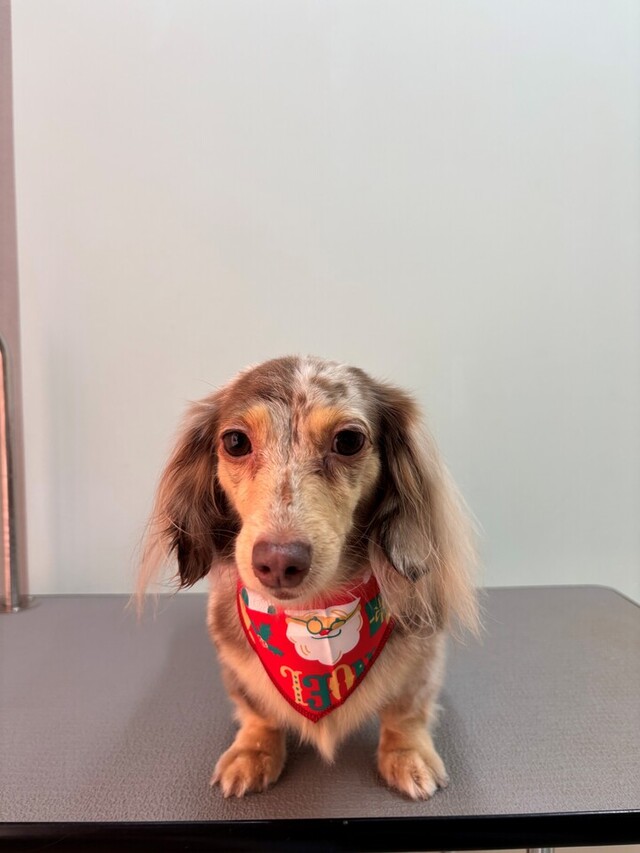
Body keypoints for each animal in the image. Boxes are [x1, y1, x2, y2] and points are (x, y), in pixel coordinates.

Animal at [139, 356, 478, 799]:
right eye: (235, 442)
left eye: (349, 440)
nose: (279, 562)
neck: (317, 611)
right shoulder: (236, 664)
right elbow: (257, 711)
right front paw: (253, 751)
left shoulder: (423, 656)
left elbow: (406, 710)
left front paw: (407, 753)